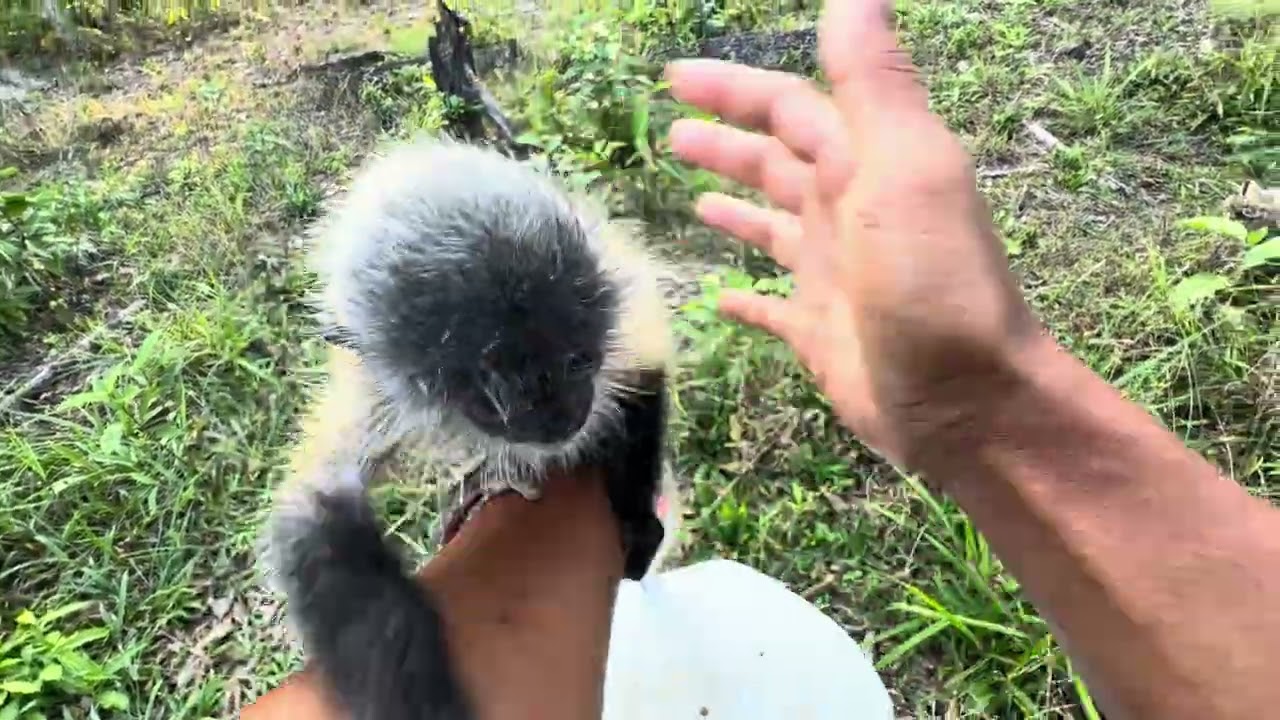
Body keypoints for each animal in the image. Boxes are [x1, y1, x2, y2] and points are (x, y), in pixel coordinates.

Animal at [257, 135, 683, 720]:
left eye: (579, 362)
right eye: (486, 404)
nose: (561, 420)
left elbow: (641, 372)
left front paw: (637, 521)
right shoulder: (371, 387)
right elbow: (316, 508)